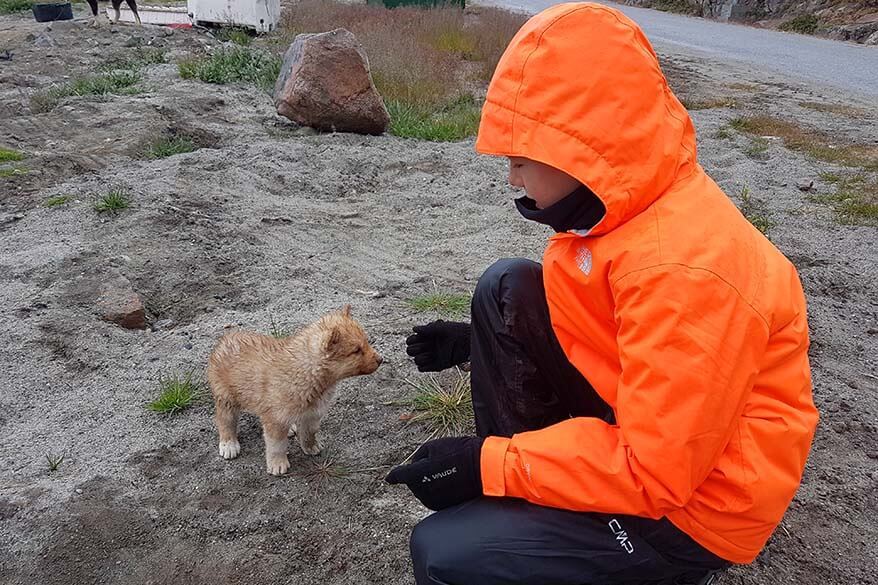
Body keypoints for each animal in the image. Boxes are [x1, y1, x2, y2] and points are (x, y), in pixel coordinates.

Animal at [210, 306, 384, 474]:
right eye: (356, 350)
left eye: (366, 341)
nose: (380, 360)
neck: (305, 372)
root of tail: (227, 338)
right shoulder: (276, 418)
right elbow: (277, 445)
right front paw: (277, 464)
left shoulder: (312, 414)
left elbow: (309, 433)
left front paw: (311, 447)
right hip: (226, 397)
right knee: (225, 420)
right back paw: (228, 445)